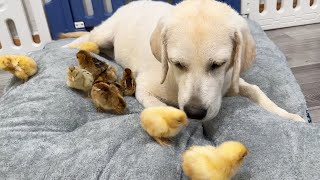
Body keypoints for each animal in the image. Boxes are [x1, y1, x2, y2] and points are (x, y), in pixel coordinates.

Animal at [63, 0, 304, 122]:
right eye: (177, 64)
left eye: (218, 65)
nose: (195, 113)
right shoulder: (144, 87)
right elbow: (156, 105)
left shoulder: (232, 81)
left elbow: (257, 91)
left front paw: (289, 116)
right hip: (103, 34)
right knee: (86, 38)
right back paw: (67, 46)